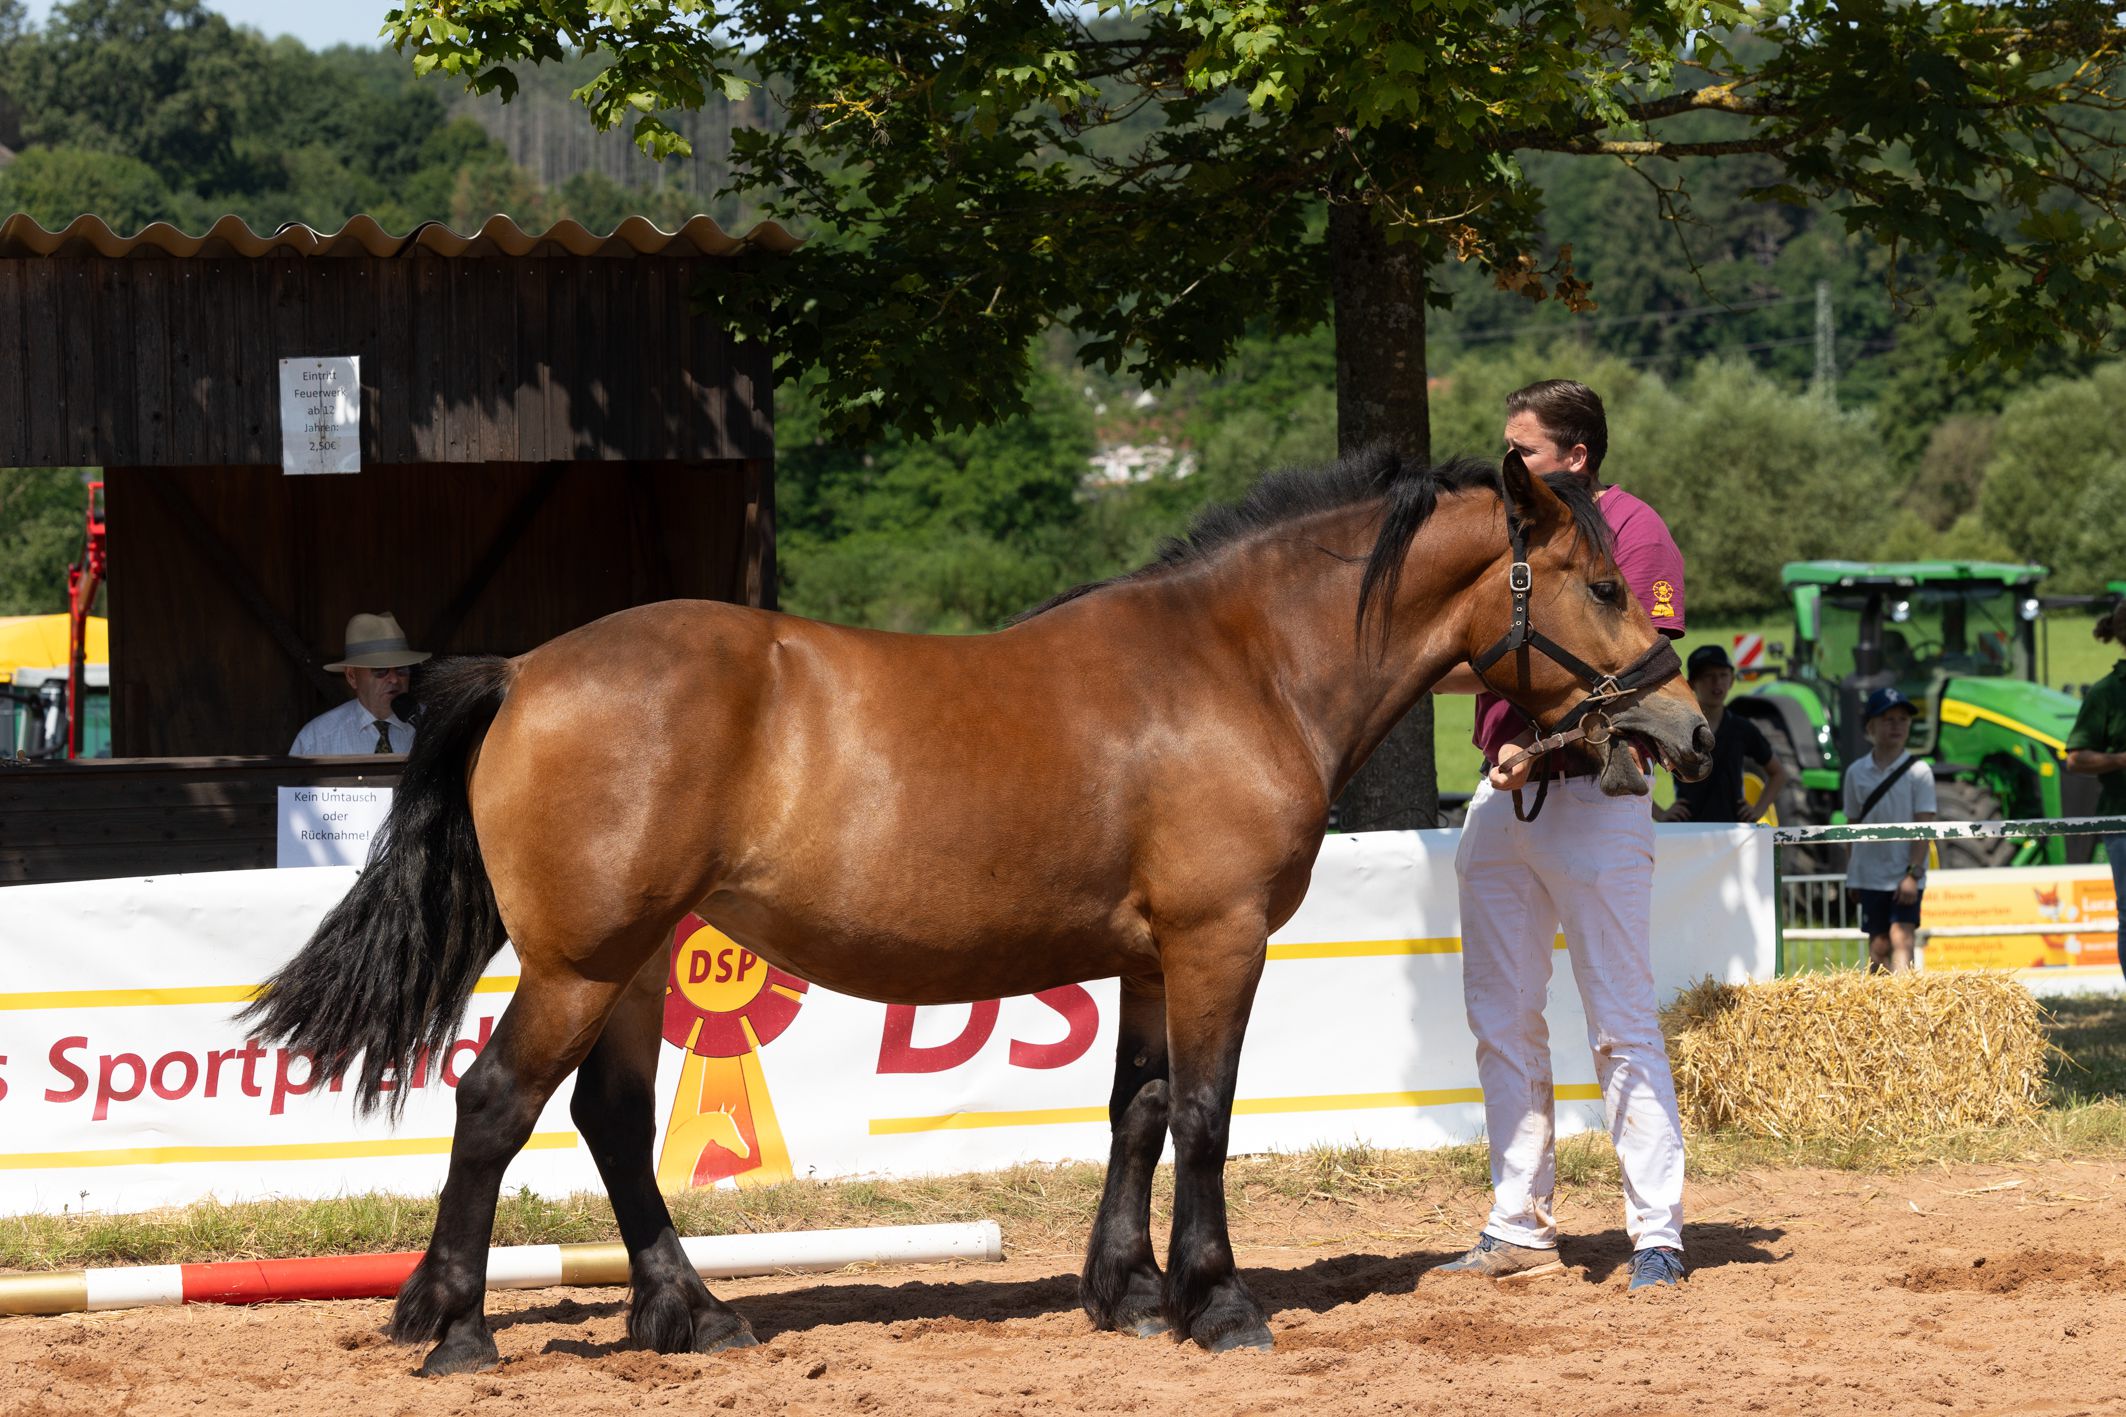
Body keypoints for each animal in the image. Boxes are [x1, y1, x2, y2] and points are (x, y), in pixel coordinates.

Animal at [244, 446, 1709, 1376]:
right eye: (1598, 582)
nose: (1684, 722)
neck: (1238, 667)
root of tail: (526, 669)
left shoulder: (1148, 957)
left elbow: (1134, 1111)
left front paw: (1127, 1294)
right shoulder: (1218, 939)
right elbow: (1203, 1114)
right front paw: (1218, 1302)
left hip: (635, 964)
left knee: (606, 1120)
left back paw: (690, 1315)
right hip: (579, 963)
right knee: (495, 1104)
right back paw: (460, 1328)